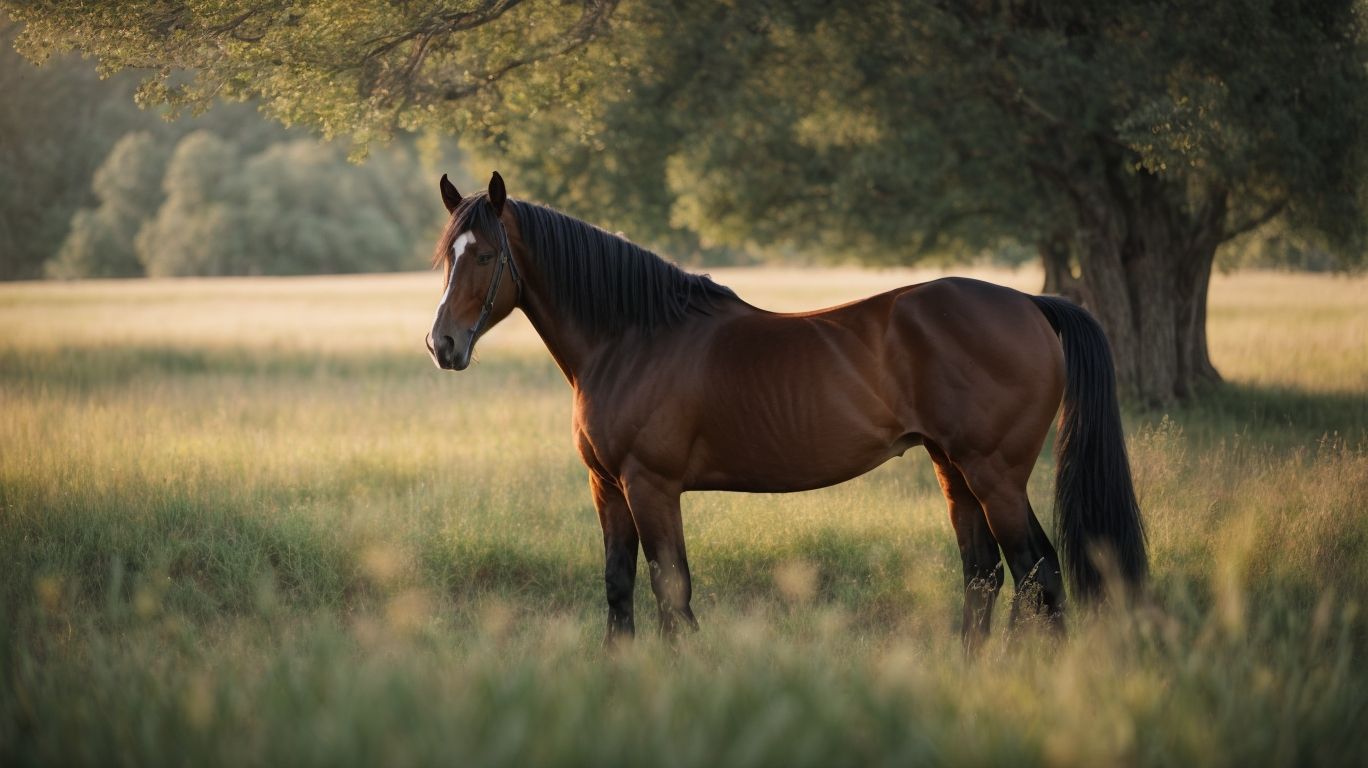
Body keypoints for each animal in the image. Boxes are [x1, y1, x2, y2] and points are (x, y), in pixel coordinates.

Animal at [426, 171, 1146, 650]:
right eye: (445, 257)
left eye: (484, 255)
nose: (442, 345)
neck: (633, 337)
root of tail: (1032, 304)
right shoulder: (607, 487)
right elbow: (619, 589)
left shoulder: (651, 486)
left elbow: (672, 593)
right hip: (955, 471)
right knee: (985, 578)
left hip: (995, 474)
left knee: (1038, 575)